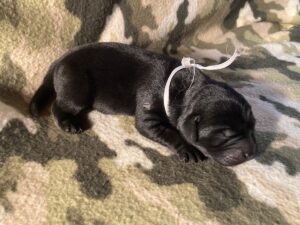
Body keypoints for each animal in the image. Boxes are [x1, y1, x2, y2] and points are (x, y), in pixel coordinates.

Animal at [29, 42, 256, 165]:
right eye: (225, 134)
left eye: (252, 128)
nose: (252, 152)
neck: (185, 88)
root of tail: (59, 61)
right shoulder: (150, 114)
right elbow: (171, 132)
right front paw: (189, 149)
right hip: (77, 86)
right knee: (59, 105)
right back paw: (69, 123)